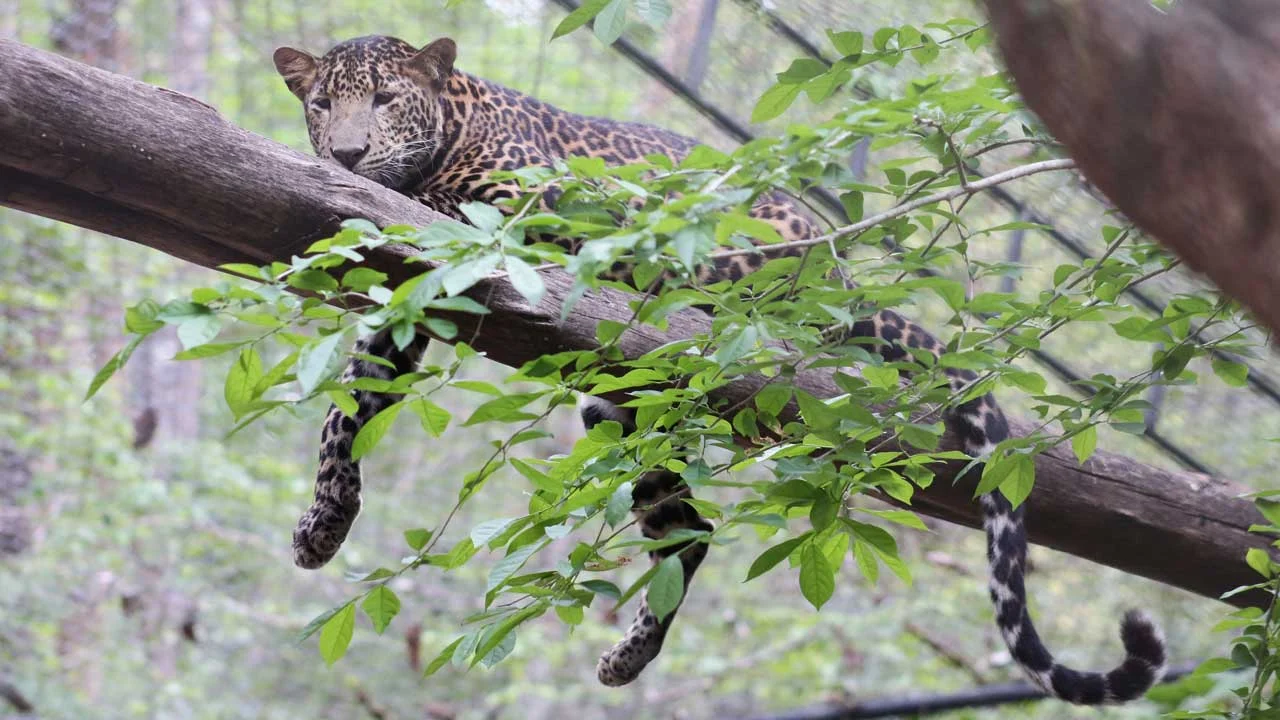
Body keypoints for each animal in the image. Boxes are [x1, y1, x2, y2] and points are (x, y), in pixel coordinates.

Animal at [272, 34, 1167, 703]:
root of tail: (837, 265)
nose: (346, 152)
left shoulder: (548, 212)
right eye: (321, 106)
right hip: (623, 409)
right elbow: (351, 402)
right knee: (690, 530)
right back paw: (626, 657)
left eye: (386, 100)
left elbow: (455, 220)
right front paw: (325, 521)